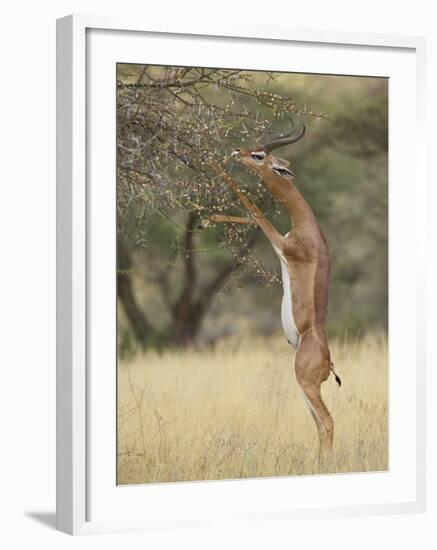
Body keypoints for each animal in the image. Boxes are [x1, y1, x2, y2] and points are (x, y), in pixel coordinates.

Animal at [209, 122, 338, 474]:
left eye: (259, 155)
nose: (236, 151)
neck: (307, 227)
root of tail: (328, 360)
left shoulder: (281, 242)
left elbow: (256, 212)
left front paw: (215, 168)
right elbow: (252, 216)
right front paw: (212, 217)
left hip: (306, 383)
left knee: (328, 423)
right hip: (302, 387)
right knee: (319, 425)